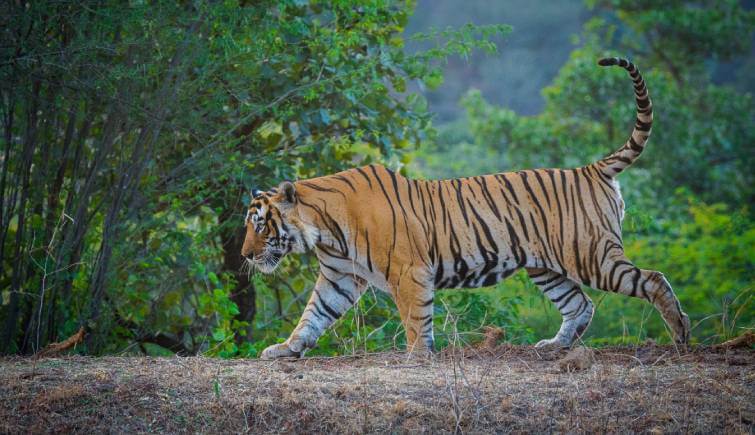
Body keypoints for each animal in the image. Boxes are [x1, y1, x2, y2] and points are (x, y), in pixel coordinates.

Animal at [244, 56, 692, 360]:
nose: (246, 256)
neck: (324, 230)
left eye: (261, 225)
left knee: (653, 280)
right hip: (547, 266)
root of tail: (590, 167)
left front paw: (417, 357)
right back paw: (553, 346)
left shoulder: (409, 271)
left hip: (591, 254)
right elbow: (312, 316)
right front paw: (285, 349)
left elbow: (415, 317)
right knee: (580, 304)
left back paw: (681, 335)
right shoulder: (339, 277)